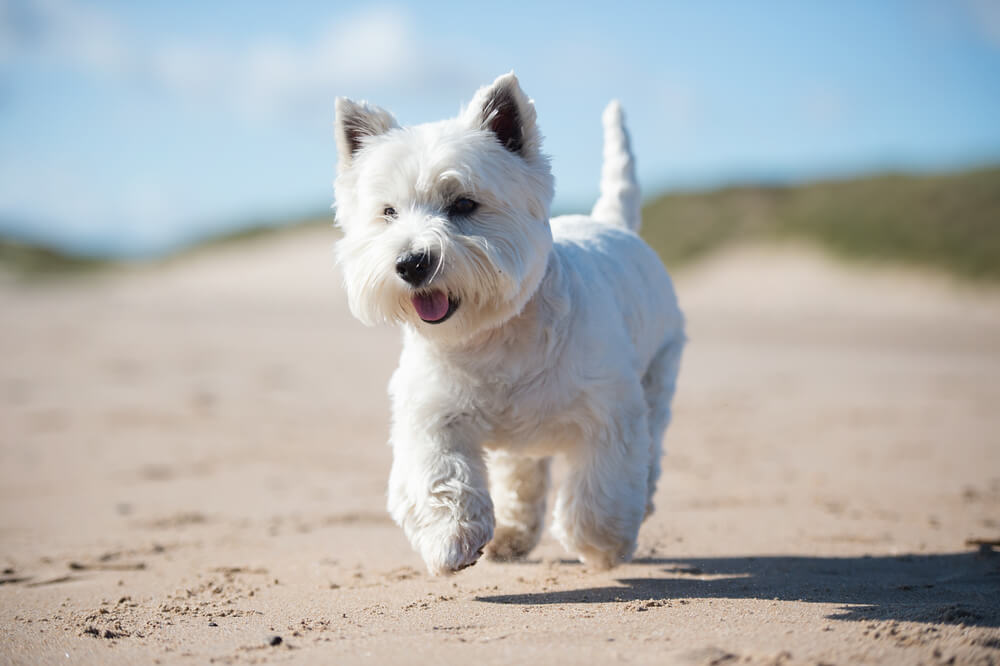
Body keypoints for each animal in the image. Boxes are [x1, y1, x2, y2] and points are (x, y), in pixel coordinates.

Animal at [332, 71, 684, 572]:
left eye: (463, 204)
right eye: (388, 212)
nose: (412, 263)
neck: (490, 337)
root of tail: (613, 225)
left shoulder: (609, 411)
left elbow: (602, 486)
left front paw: (601, 544)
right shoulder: (431, 413)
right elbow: (438, 471)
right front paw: (452, 536)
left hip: (659, 372)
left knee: (651, 445)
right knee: (522, 476)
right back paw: (511, 538)